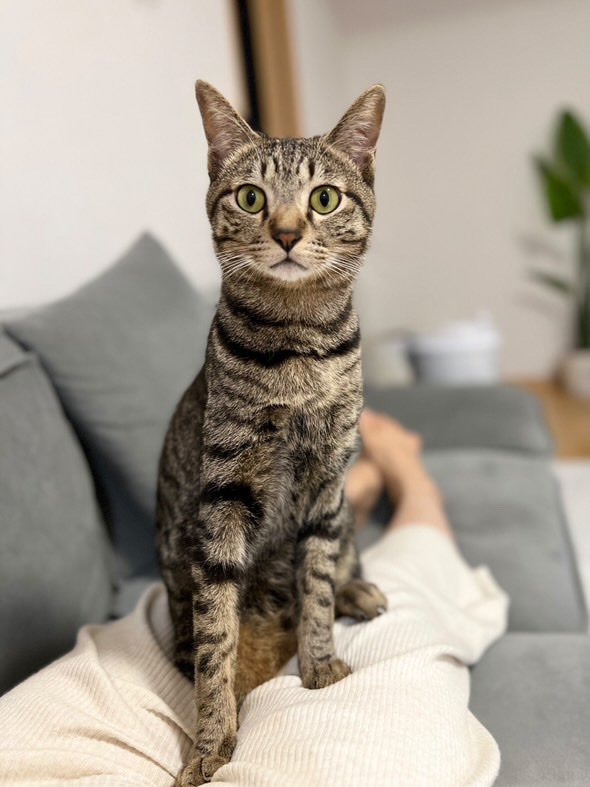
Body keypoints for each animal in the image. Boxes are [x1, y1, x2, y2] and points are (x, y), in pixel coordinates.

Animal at [156, 79, 386, 786]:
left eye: (323, 198)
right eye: (252, 197)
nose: (286, 233)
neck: (299, 346)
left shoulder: (327, 483)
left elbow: (317, 584)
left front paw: (320, 667)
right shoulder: (224, 497)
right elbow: (217, 643)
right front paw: (212, 741)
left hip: (342, 510)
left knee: (340, 560)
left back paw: (356, 589)